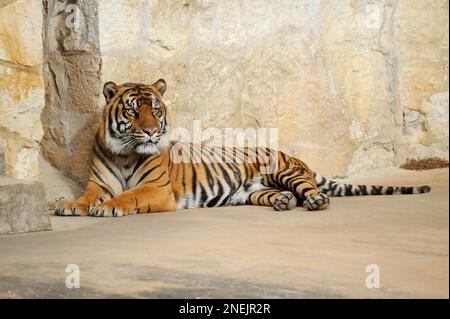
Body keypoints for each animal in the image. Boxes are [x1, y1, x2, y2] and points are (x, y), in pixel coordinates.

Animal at [54, 79, 430, 218]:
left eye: (156, 110)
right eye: (133, 111)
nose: (149, 131)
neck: (125, 151)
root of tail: (295, 156)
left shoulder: (157, 190)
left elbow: (129, 196)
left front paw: (107, 208)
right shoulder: (98, 183)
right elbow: (88, 196)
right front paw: (68, 205)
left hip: (285, 171)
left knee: (311, 190)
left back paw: (315, 202)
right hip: (254, 190)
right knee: (279, 196)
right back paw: (282, 202)